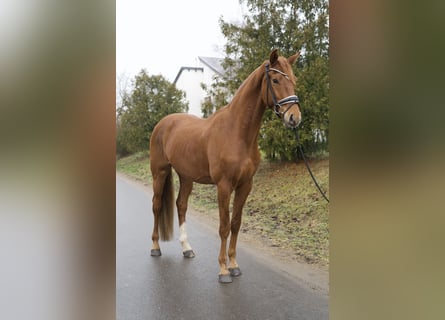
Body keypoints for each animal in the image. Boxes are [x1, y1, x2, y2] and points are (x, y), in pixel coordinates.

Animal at [150, 48, 302, 284]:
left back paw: (187, 248)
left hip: (186, 176)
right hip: (159, 173)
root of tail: (163, 123)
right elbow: (223, 226)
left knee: (181, 205)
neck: (236, 132)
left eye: (293, 80)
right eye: (276, 80)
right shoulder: (223, 186)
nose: (294, 118)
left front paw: (234, 265)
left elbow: (236, 224)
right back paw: (156, 247)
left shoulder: (245, 185)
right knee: (157, 206)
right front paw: (223, 270)